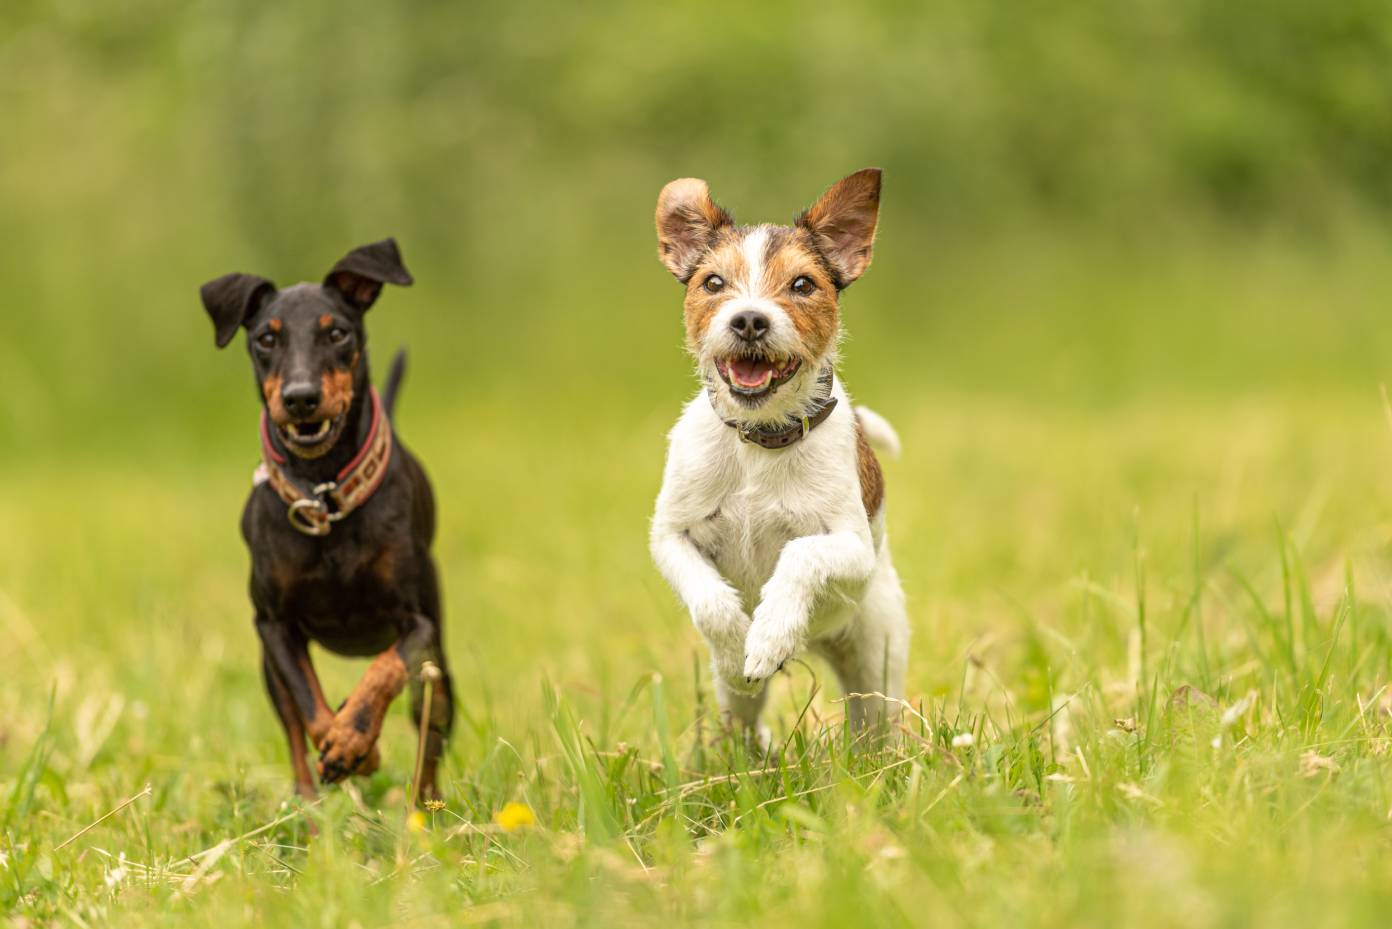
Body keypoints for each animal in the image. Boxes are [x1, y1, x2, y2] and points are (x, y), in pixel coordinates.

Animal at [199, 239, 451, 802]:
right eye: (266, 339)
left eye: (337, 333)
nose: (300, 398)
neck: (326, 493)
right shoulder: (273, 625)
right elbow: (310, 706)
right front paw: (354, 748)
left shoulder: (417, 621)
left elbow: (384, 668)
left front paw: (354, 737)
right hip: (266, 668)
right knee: (293, 729)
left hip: (437, 670)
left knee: (429, 732)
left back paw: (423, 811)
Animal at [645, 169, 907, 740]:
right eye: (713, 283)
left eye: (803, 285)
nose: (749, 320)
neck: (759, 441)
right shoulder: (670, 538)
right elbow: (711, 602)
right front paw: (736, 647)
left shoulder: (852, 550)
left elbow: (802, 554)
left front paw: (769, 634)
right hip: (743, 705)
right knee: (742, 722)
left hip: (877, 663)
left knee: (875, 726)